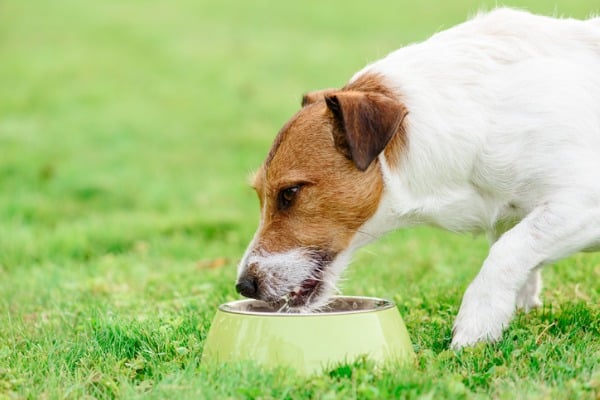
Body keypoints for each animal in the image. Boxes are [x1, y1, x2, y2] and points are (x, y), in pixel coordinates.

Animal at [234, 7, 600, 348]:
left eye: (290, 192)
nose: (243, 285)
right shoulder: (512, 215)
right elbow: (516, 251)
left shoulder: (580, 205)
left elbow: (508, 251)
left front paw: (477, 323)